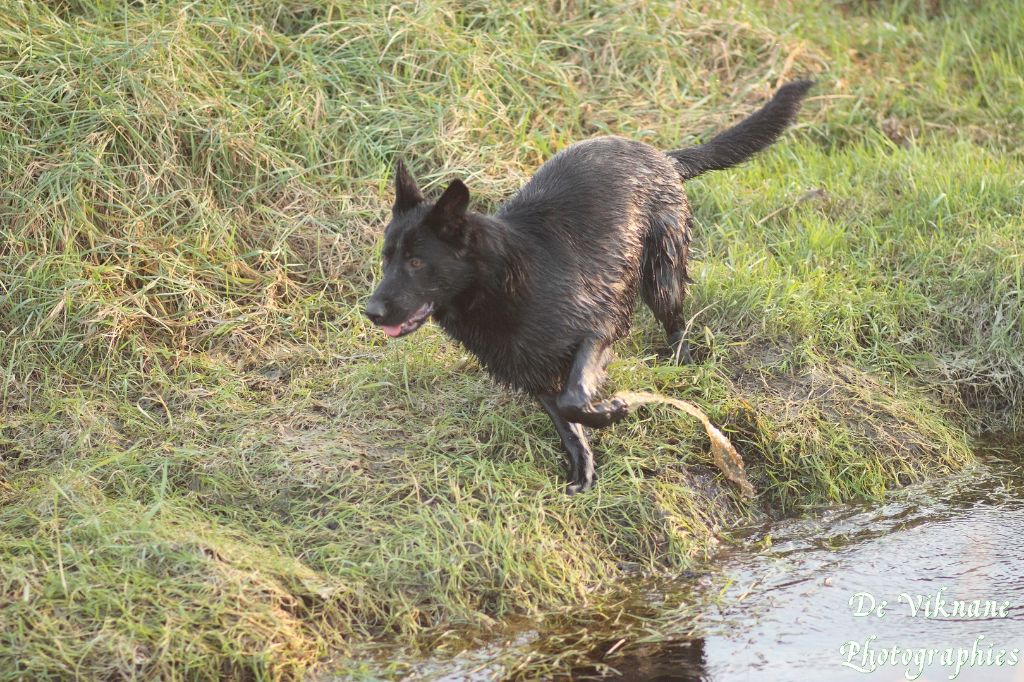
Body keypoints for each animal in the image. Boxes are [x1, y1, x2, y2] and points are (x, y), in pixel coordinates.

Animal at [366, 81, 812, 493]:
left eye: (417, 262)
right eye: (386, 259)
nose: (370, 311)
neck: (501, 284)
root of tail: (662, 157)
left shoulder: (598, 328)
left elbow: (574, 398)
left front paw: (610, 411)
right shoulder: (531, 370)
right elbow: (565, 420)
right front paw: (584, 465)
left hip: (661, 274)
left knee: (675, 321)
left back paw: (680, 361)